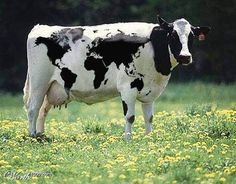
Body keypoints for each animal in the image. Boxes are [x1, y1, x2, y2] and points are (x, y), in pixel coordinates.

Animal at [23, 16, 210, 139]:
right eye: (172, 35)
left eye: (192, 36)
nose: (185, 57)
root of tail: (41, 27)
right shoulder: (128, 87)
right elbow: (130, 116)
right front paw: (128, 139)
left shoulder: (150, 91)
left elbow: (149, 117)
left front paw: (149, 137)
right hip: (39, 82)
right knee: (33, 108)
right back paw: (32, 136)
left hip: (52, 86)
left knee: (43, 110)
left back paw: (41, 135)